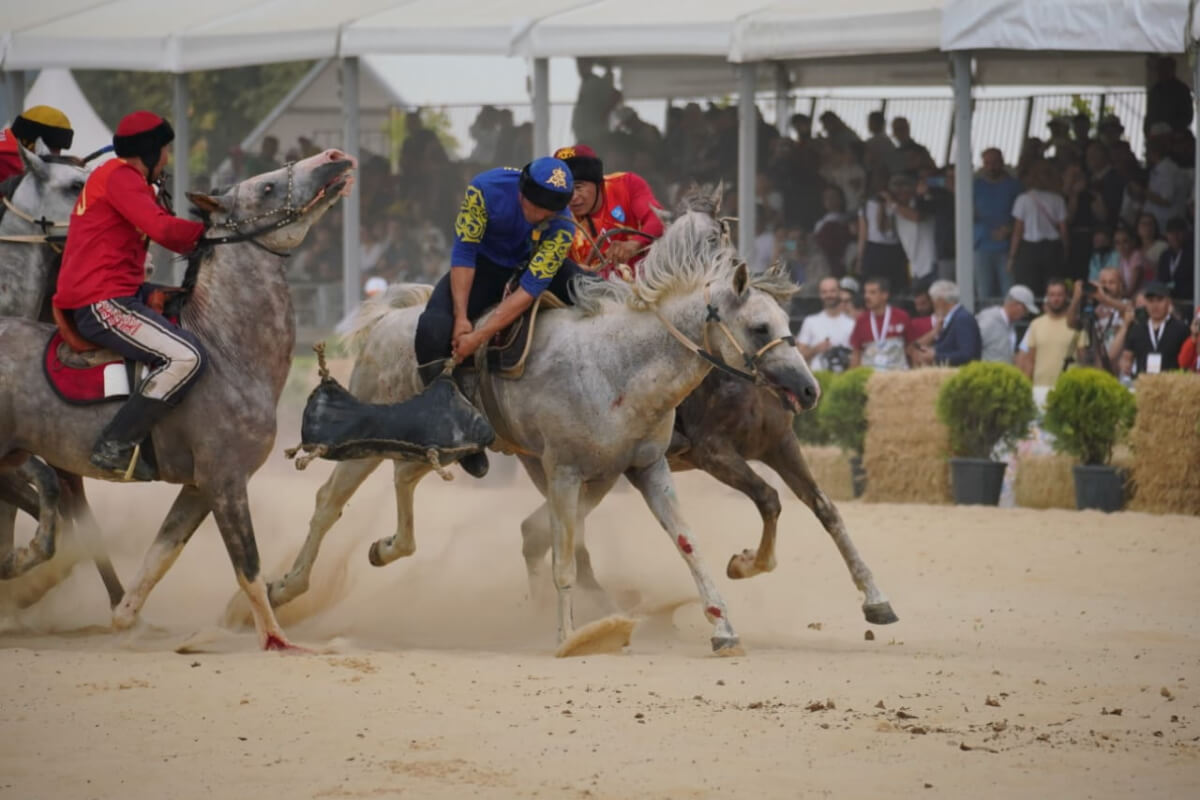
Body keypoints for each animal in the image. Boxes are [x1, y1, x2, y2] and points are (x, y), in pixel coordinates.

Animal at [260, 189, 825, 657]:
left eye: (787, 322)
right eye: (760, 326)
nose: (808, 390)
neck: (618, 365)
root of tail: (390, 320)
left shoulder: (645, 469)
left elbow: (688, 544)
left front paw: (724, 627)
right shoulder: (564, 472)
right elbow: (564, 560)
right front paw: (570, 636)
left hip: (437, 447)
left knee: (404, 480)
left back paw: (386, 548)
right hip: (373, 437)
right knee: (329, 502)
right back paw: (284, 587)